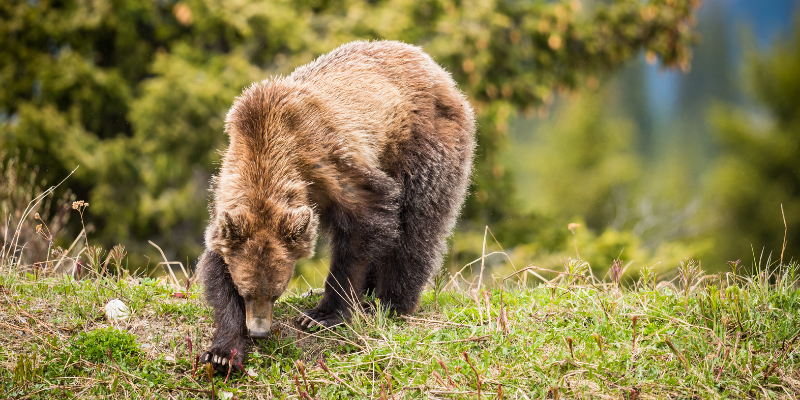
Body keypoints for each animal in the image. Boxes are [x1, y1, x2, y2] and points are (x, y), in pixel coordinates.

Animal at [199, 40, 476, 372]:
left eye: (277, 291)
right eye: (246, 291)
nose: (259, 331)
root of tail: (436, 69)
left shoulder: (330, 161)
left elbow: (363, 227)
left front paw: (322, 315)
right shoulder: (230, 197)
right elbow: (217, 263)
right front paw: (222, 352)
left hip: (423, 144)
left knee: (417, 228)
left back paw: (389, 302)